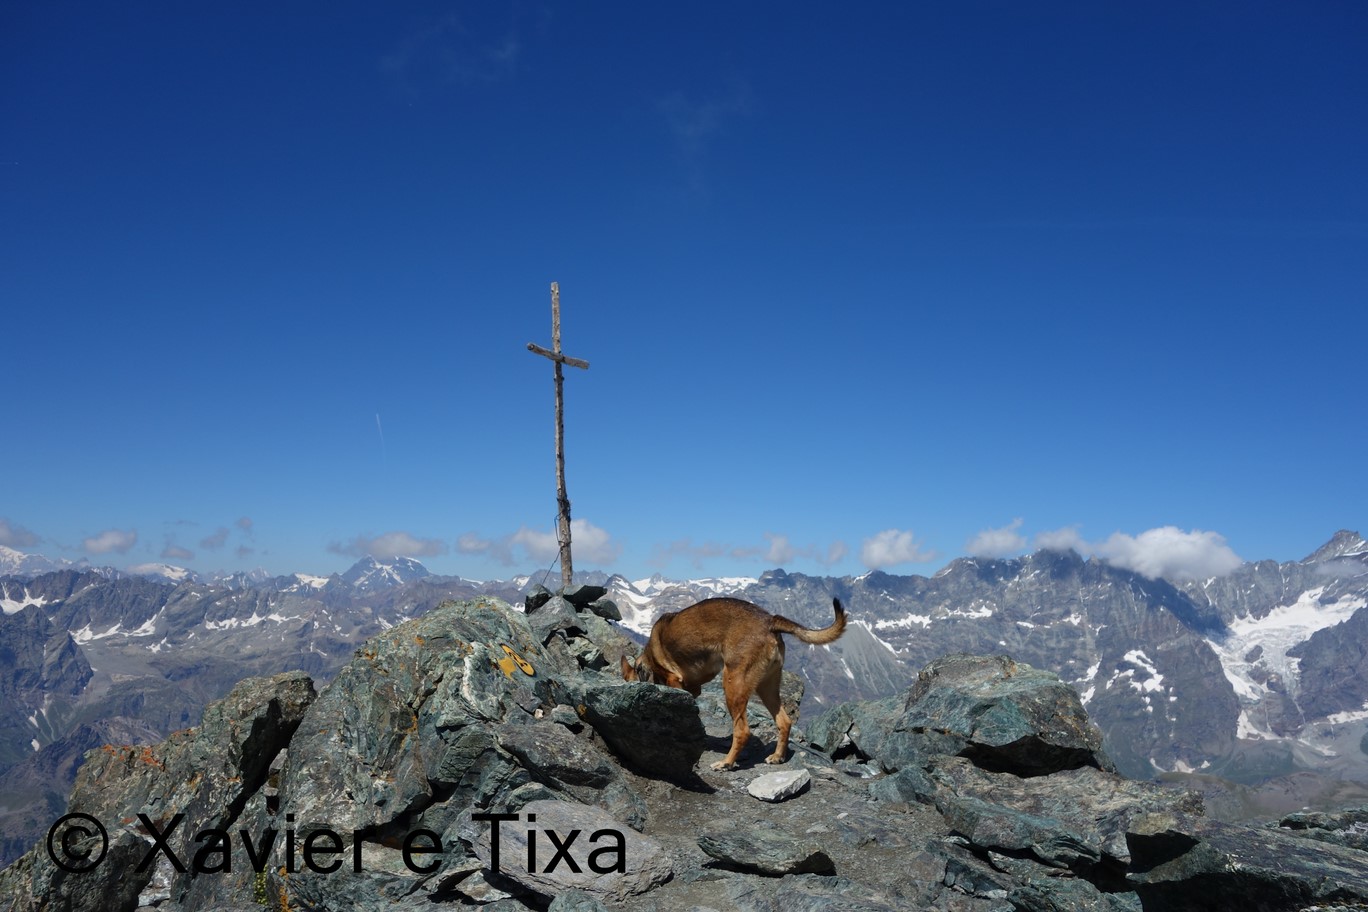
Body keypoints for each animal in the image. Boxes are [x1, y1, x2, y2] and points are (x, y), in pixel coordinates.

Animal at [621, 597, 847, 770]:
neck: (648, 659)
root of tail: (769, 620)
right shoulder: (693, 688)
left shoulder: (674, 681)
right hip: (766, 688)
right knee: (784, 722)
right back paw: (777, 757)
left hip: (732, 684)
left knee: (743, 731)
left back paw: (726, 763)